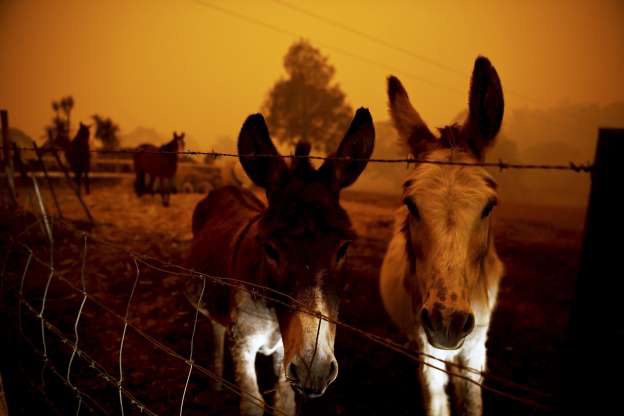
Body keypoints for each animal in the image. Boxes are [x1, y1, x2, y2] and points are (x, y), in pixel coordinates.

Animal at [186, 109, 376, 414]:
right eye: (271, 249)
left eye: (344, 248)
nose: (315, 371)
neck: (272, 310)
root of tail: (228, 187)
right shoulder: (243, 343)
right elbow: (252, 402)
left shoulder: (286, 351)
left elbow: (284, 402)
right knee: (216, 328)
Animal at [378, 56, 504, 416]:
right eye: (411, 204)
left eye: (489, 206)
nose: (447, 324)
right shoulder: (428, 344)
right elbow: (436, 399)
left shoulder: (476, 346)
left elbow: (471, 397)